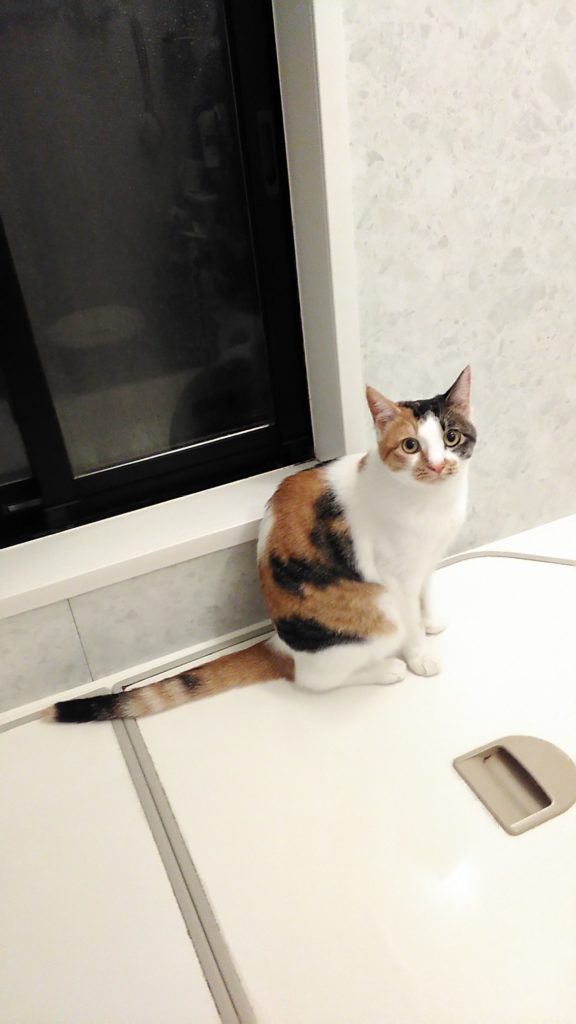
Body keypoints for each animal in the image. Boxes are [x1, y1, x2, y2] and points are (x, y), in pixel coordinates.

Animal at [49, 367, 476, 723]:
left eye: (451, 438)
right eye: (410, 446)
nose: (438, 465)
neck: (432, 502)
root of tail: (279, 646)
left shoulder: (426, 562)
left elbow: (426, 595)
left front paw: (431, 621)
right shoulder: (397, 576)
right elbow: (411, 621)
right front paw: (421, 656)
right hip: (379, 615)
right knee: (315, 679)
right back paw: (386, 668)